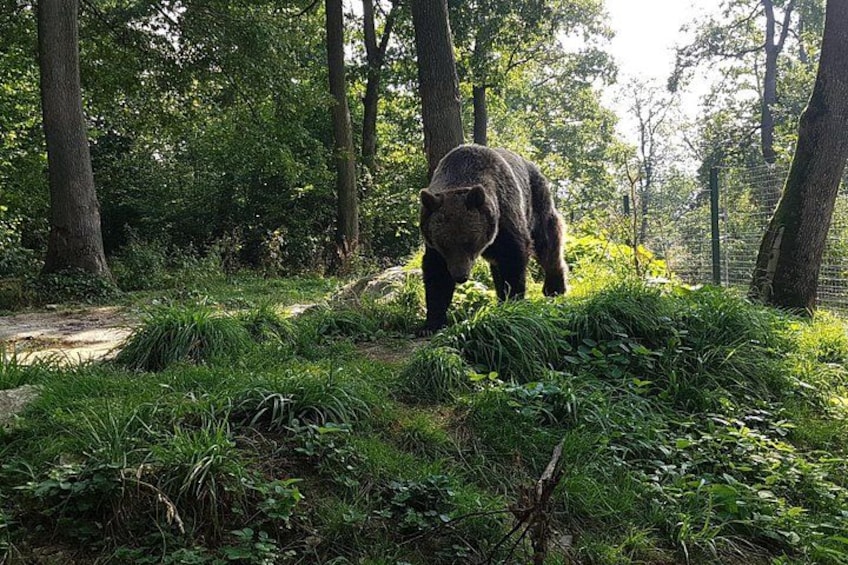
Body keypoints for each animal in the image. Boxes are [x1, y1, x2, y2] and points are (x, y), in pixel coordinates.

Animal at [418, 144, 568, 334]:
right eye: (444, 245)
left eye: (468, 242)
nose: (460, 276)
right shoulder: (433, 239)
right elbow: (436, 273)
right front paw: (432, 323)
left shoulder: (505, 217)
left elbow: (513, 258)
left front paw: (514, 302)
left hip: (536, 201)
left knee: (548, 243)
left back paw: (555, 288)